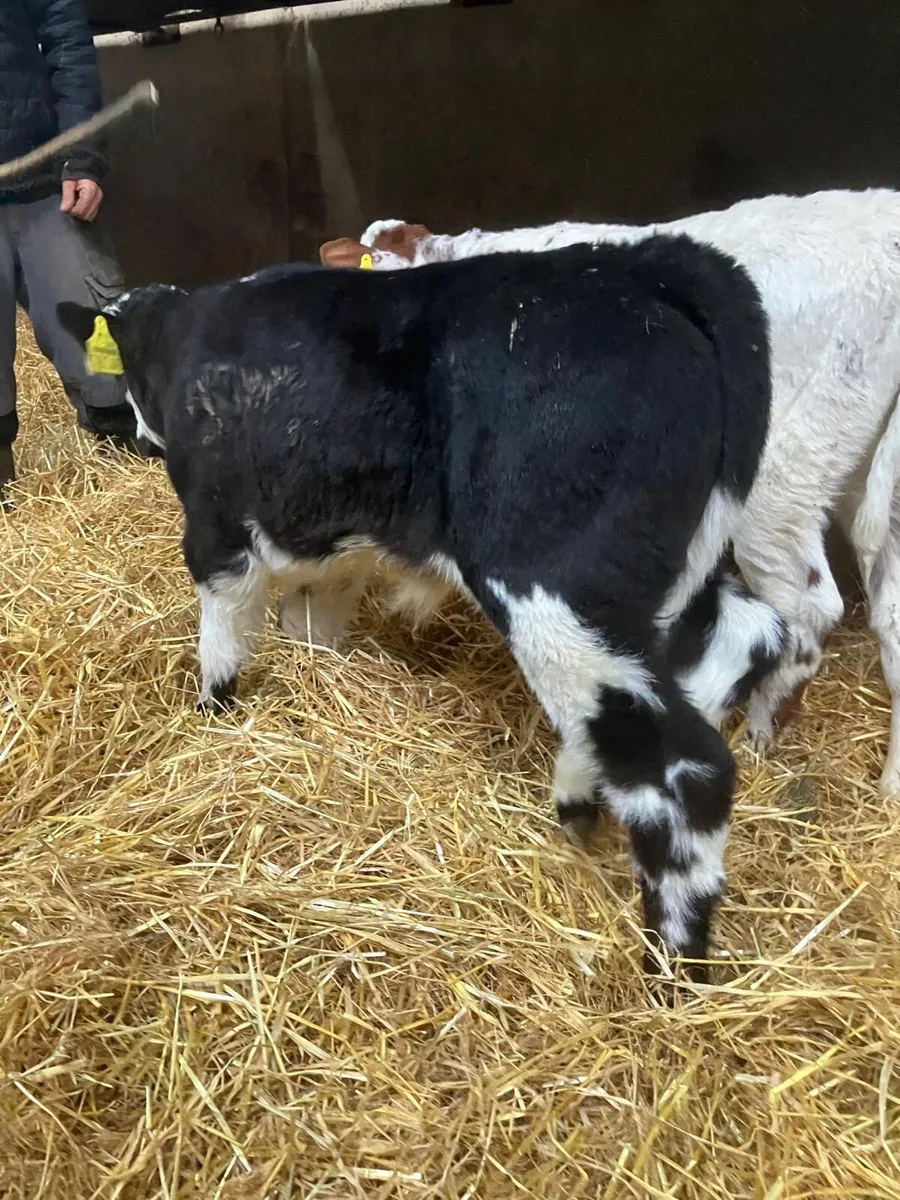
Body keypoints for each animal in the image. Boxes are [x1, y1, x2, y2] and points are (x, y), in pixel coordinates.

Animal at [58, 234, 779, 981]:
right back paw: (582, 799)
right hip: (676, 571)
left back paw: (671, 963)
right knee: (742, 642)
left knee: (679, 768)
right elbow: (313, 623)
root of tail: (650, 266)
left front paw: (212, 714)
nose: (137, 438)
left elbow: (221, 639)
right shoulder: (333, 543)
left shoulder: (216, 531)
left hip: (555, 586)